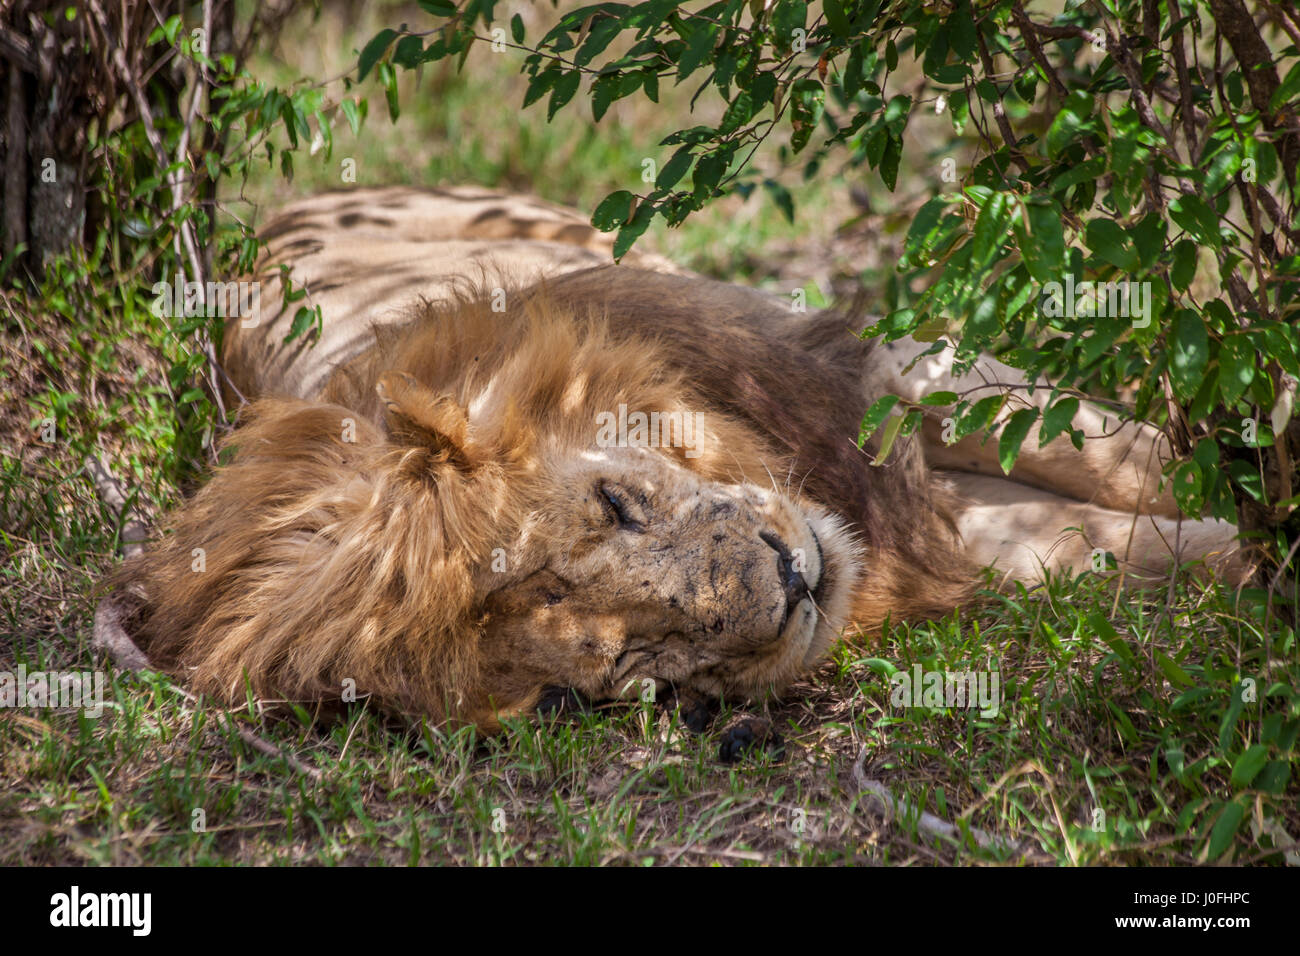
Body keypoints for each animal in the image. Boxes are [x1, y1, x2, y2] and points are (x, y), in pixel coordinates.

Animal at [106, 185, 1242, 734]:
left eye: (617, 501)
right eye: (626, 670)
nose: (791, 582)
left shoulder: (858, 363)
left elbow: (1116, 453)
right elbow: (1094, 543)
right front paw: (1239, 558)